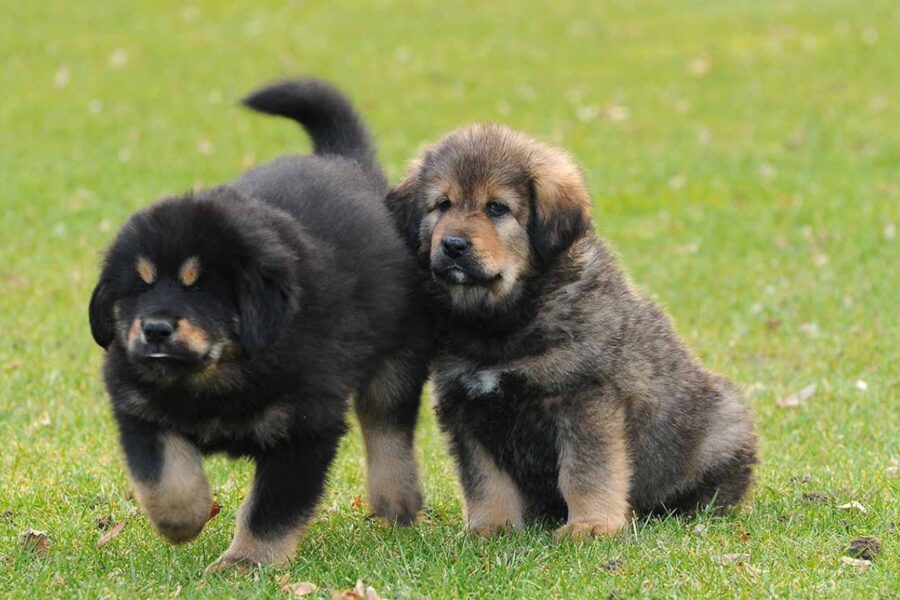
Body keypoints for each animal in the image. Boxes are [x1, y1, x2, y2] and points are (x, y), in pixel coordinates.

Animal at [89, 79, 428, 572]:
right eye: (140, 287)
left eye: (201, 289)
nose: (154, 329)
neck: (219, 378)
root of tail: (346, 163)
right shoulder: (136, 404)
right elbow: (165, 475)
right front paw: (182, 521)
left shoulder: (306, 426)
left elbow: (272, 508)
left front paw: (246, 563)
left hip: (399, 351)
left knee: (387, 424)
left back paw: (395, 501)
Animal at [388, 125, 760, 540]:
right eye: (442, 205)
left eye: (497, 208)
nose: (452, 245)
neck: (501, 323)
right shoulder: (465, 408)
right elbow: (484, 479)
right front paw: (491, 526)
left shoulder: (584, 398)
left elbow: (586, 471)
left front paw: (591, 524)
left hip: (724, 424)